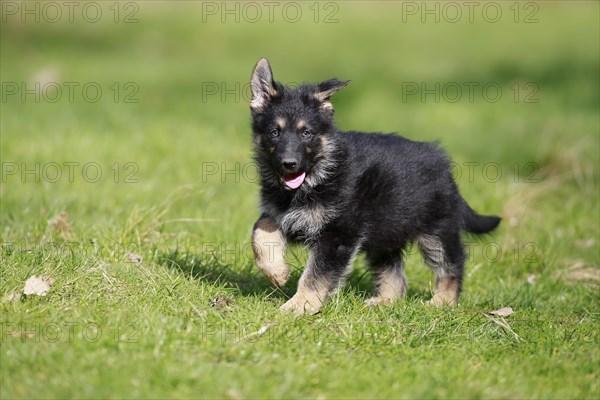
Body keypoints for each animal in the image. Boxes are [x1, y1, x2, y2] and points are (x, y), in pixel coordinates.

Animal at [248, 58, 502, 316]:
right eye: (274, 132)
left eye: (306, 133)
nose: (289, 163)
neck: (317, 176)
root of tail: (441, 161)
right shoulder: (281, 214)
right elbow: (260, 231)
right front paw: (277, 272)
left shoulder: (338, 234)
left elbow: (316, 274)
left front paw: (300, 304)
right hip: (386, 230)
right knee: (394, 271)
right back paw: (385, 301)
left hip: (436, 230)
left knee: (452, 263)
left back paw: (442, 301)